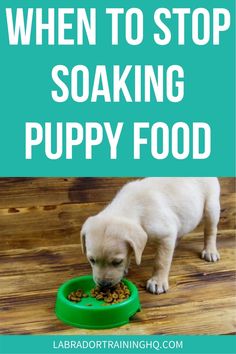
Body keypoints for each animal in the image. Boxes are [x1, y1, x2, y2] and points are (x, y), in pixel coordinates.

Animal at [80, 178, 220, 294]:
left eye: (117, 262)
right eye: (91, 260)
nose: (103, 285)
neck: (130, 206)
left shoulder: (166, 234)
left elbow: (161, 261)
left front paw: (157, 282)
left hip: (211, 205)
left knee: (210, 230)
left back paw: (210, 251)